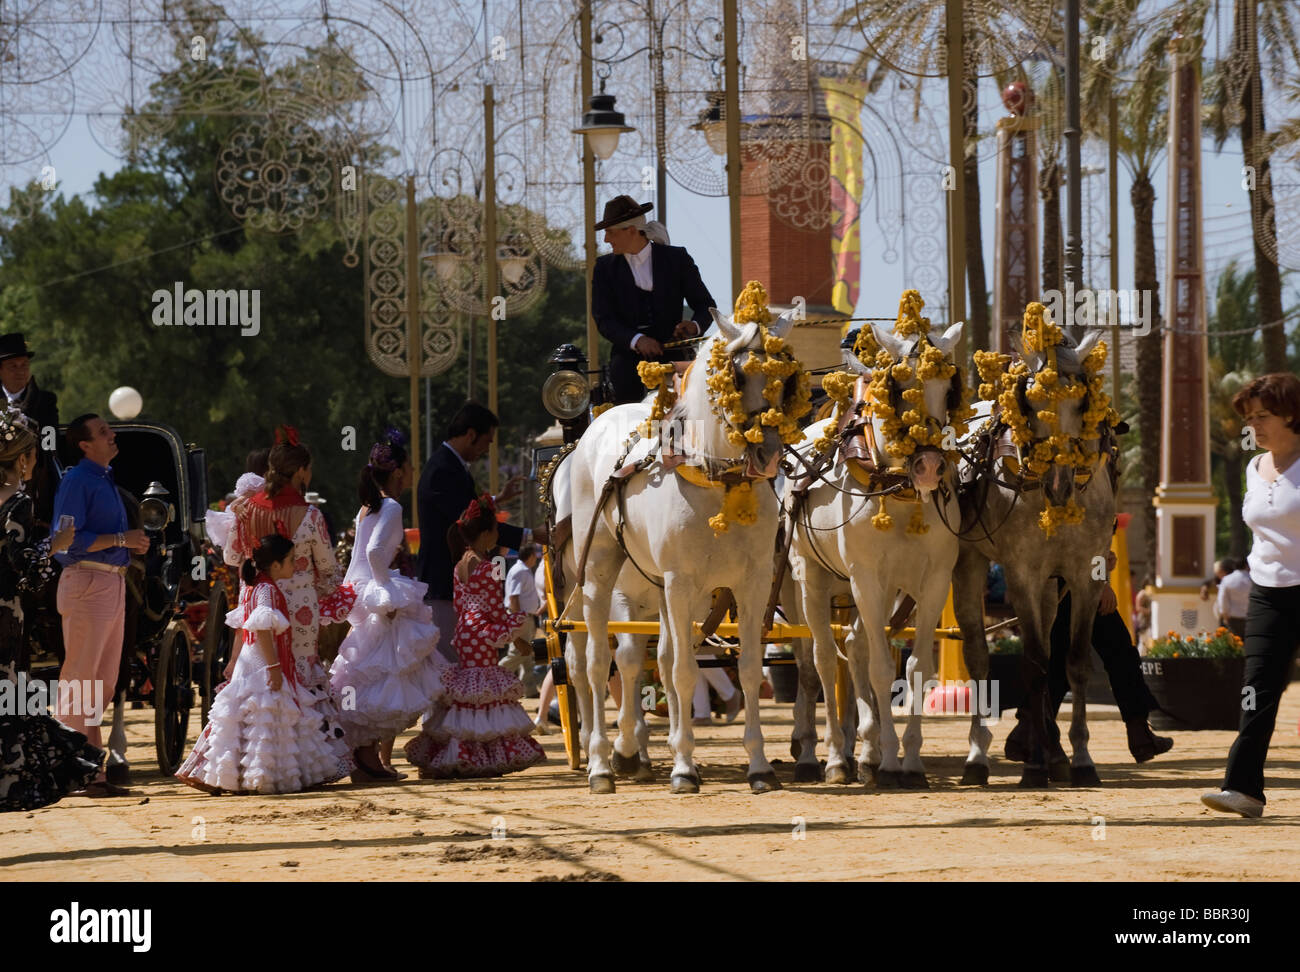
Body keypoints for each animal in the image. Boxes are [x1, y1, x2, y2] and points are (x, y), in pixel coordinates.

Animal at [566, 309, 795, 790]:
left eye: (785, 377)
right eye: (737, 375)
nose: (767, 454)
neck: (719, 481)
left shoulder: (751, 583)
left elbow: (748, 667)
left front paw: (759, 765)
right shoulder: (681, 582)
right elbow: (684, 673)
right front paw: (684, 768)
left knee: (661, 655)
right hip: (598, 570)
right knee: (596, 662)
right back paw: (600, 764)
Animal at [780, 320, 967, 790]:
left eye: (949, 388)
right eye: (897, 388)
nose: (929, 467)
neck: (897, 490)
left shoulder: (931, 581)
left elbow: (915, 667)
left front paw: (909, 760)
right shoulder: (865, 576)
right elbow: (882, 669)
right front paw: (888, 764)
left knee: (854, 645)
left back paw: (862, 749)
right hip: (810, 579)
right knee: (822, 659)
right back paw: (829, 756)